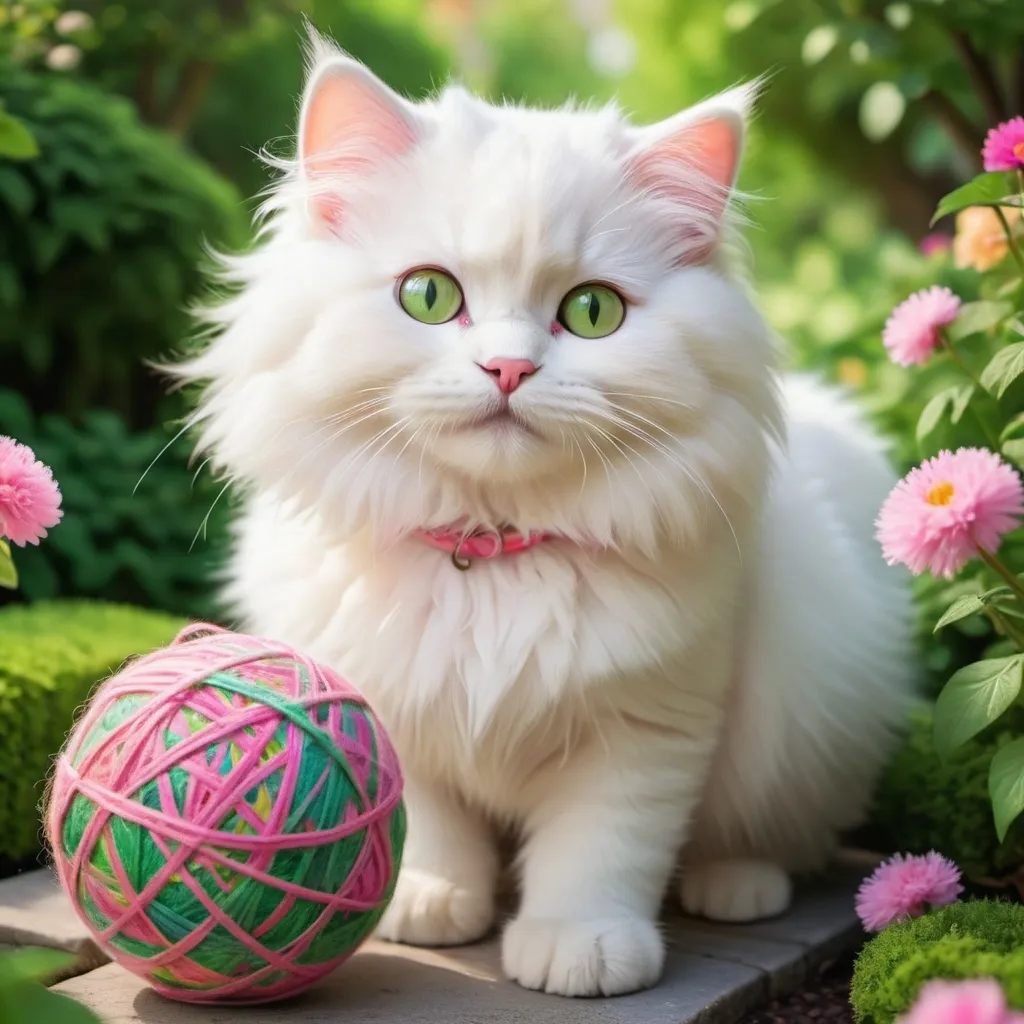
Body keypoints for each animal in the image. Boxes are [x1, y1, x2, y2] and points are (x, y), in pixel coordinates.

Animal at [174, 34, 913, 999]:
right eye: (428, 296)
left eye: (591, 312)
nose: (508, 369)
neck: (490, 553)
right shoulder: (396, 709)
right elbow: (433, 826)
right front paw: (428, 900)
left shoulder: (649, 728)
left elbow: (600, 854)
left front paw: (581, 950)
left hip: (802, 725)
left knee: (774, 835)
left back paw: (735, 886)